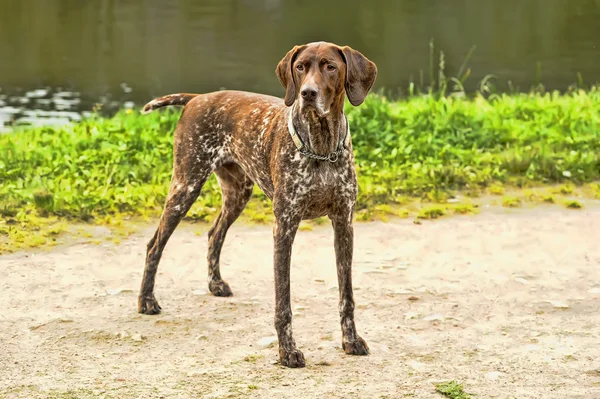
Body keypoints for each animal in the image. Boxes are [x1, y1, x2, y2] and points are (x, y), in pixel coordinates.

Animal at [138, 40, 378, 368]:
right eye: (300, 67)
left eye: (330, 66)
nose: (307, 93)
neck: (321, 148)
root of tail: (197, 98)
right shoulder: (284, 227)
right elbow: (283, 303)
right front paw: (287, 351)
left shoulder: (344, 225)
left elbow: (347, 296)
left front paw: (350, 340)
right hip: (185, 186)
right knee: (155, 245)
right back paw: (146, 301)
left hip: (238, 192)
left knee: (214, 233)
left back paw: (215, 284)